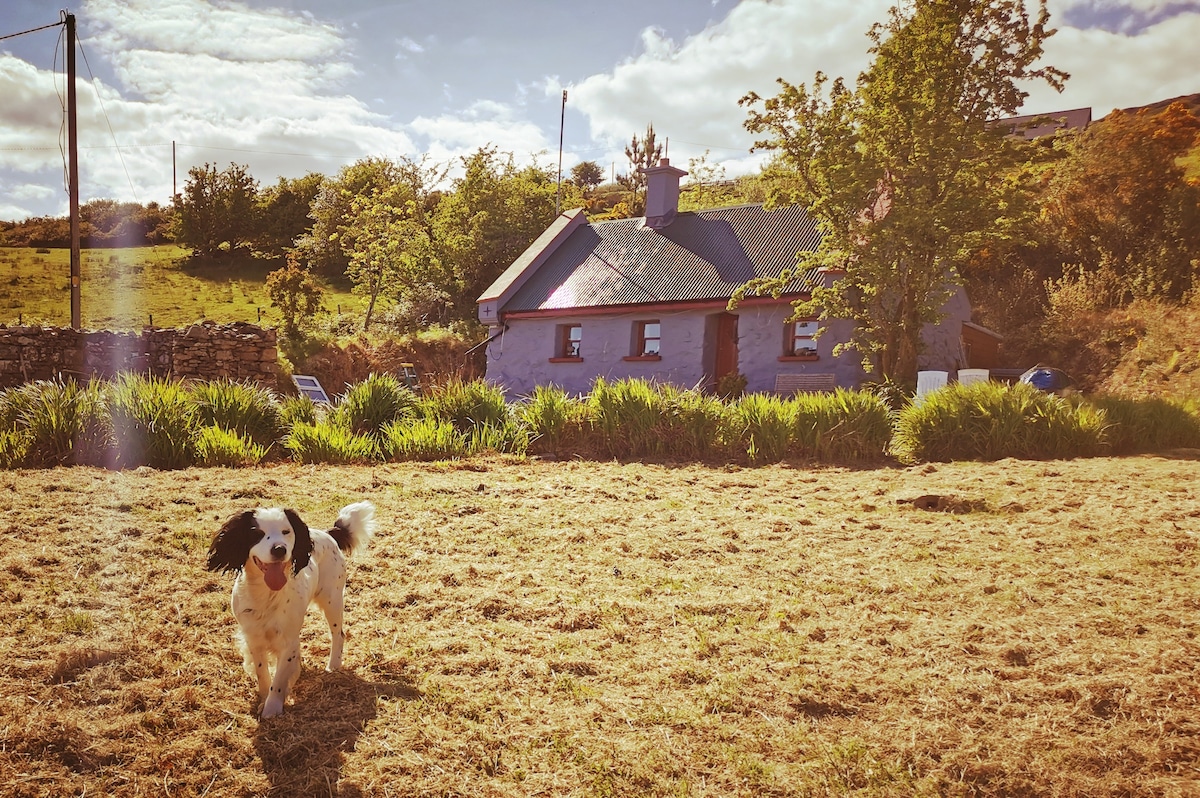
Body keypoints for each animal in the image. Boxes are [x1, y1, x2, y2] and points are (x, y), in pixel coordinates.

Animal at [206, 501, 374, 720]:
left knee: (339, 634)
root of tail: (327, 533)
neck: (267, 593)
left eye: (286, 531)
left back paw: (333, 665)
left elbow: (278, 679)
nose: (279, 549)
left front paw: (272, 707)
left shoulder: (287, 641)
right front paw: (264, 698)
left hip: (332, 601)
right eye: (256, 533)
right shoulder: (254, 639)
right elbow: (263, 673)